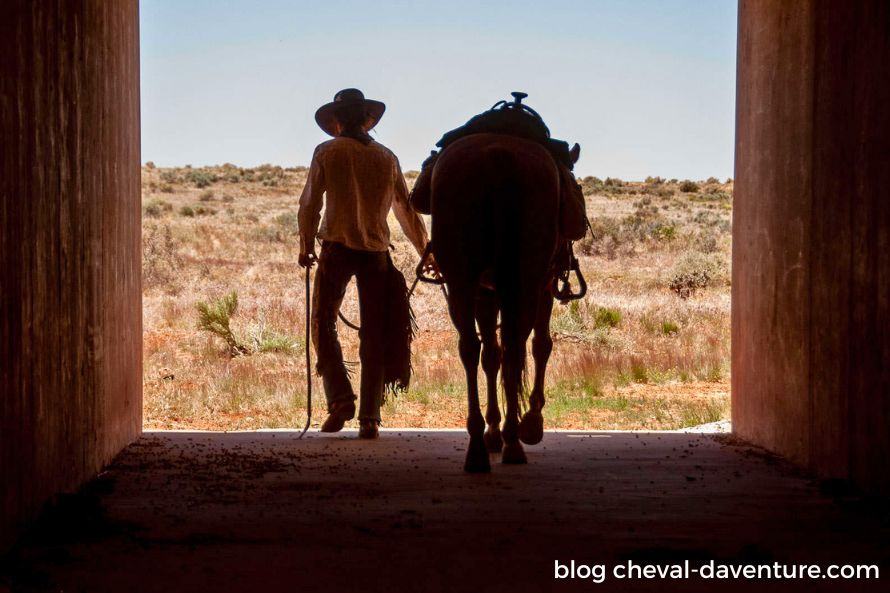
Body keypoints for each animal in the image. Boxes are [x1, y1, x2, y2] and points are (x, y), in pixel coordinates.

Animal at [426, 131, 580, 472]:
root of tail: (498, 157)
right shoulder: (542, 288)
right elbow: (541, 346)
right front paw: (530, 422)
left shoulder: (486, 293)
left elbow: (490, 356)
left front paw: (494, 430)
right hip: (525, 283)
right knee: (514, 349)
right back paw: (512, 440)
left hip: (462, 282)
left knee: (472, 349)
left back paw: (479, 447)